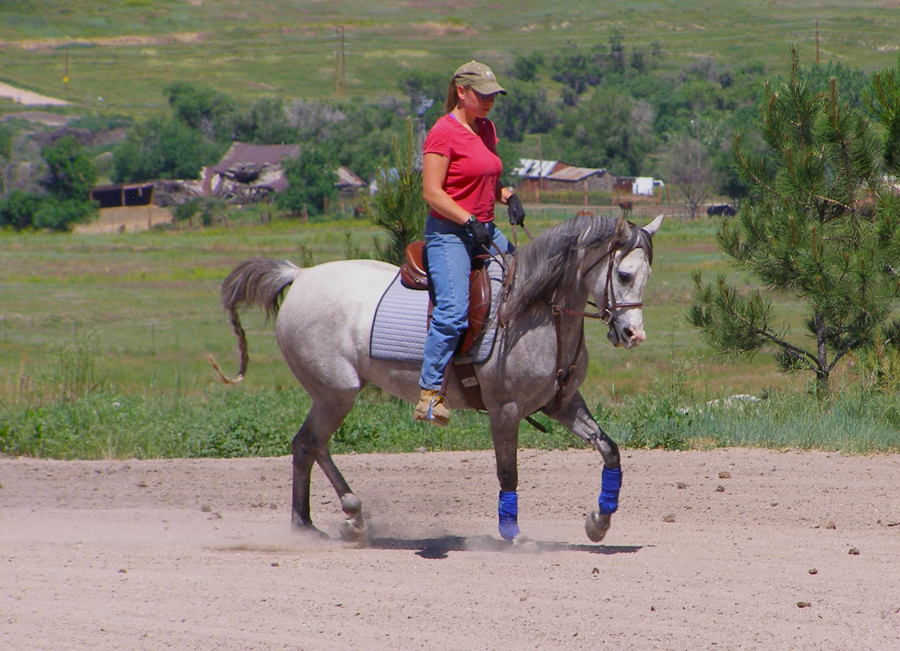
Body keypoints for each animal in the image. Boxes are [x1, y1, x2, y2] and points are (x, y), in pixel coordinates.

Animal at [216, 213, 668, 544]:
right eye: (624, 275)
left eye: (648, 276)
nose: (634, 335)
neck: (536, 312)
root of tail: (301, 275)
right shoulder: (505, 411)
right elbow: (508, 472)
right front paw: (513, 535)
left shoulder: (563, 403)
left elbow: (609, 450)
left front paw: (599, 521)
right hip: (337, 393)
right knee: (309, 443)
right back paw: (318, 522)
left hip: (333, 395)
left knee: (310, 445)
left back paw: (337, 518)